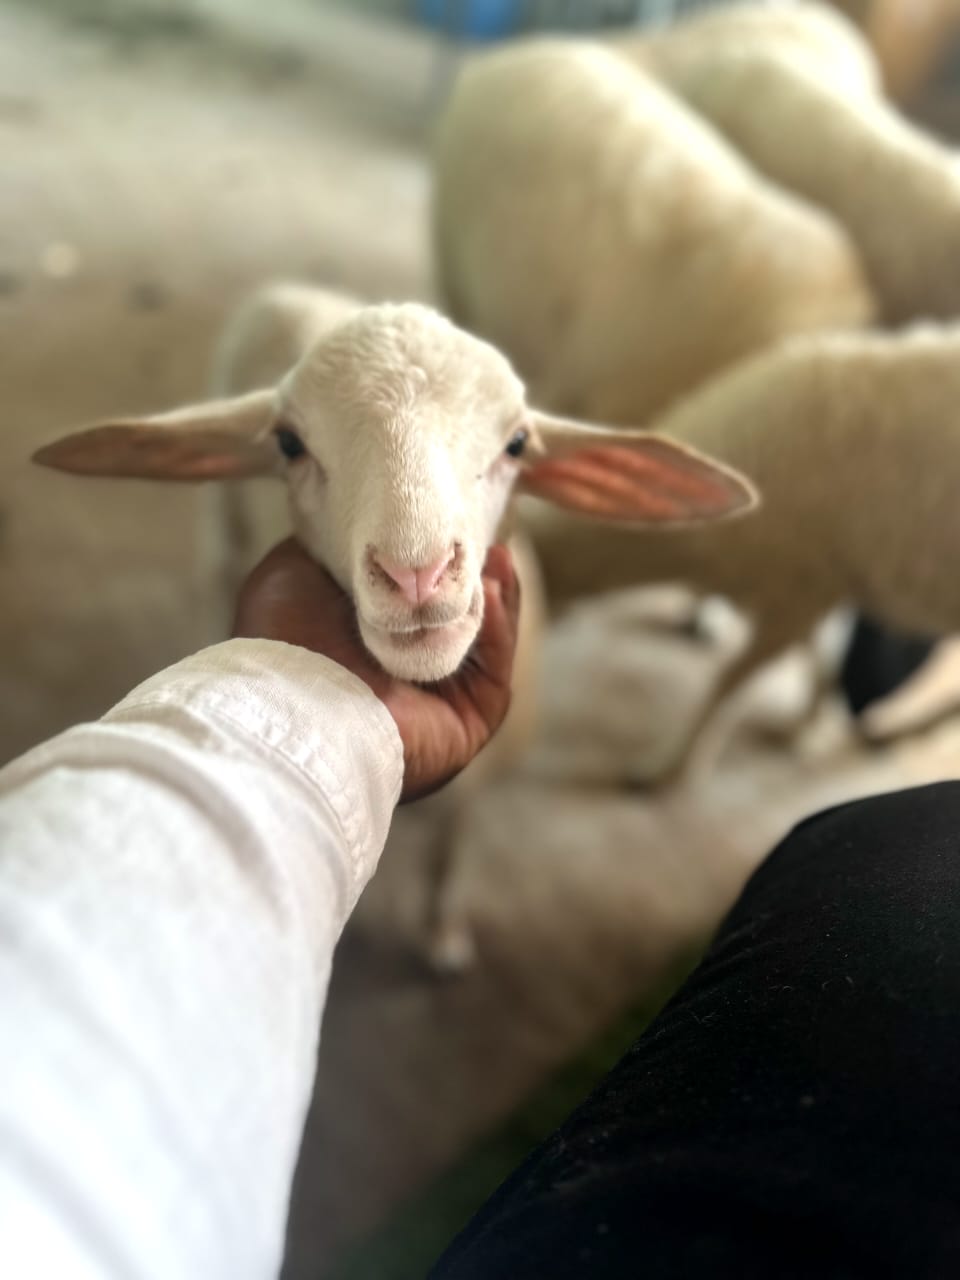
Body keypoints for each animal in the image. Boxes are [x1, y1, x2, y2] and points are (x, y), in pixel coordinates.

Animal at [32, 285, 754, 966]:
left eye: (517, 444)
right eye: (289, 444)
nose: (417, 575)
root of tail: (295, 287)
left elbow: (454, 848)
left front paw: (444, 934)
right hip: (221, 523)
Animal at [521, 321, 960, 784]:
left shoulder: (798, 585)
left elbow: (729, 680)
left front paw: (670, 768)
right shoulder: (811, 582)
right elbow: (820, 658)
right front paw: (800, 727)